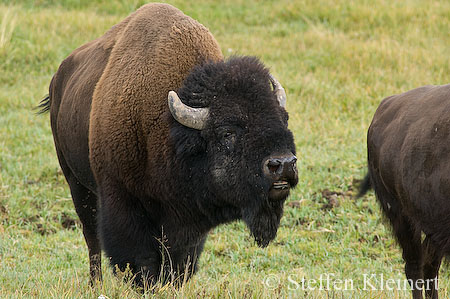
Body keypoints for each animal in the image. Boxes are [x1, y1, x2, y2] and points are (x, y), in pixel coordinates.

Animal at [38, 3, 298, 288]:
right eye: (227, 132)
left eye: (284, 120)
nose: (283, 164)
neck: (171, 131)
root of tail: (59, 78)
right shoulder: (122, 201)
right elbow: (138, 258)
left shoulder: (186, 220)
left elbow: (178, 261)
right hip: (76, 181)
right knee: (91, 237)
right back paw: (96, 284)